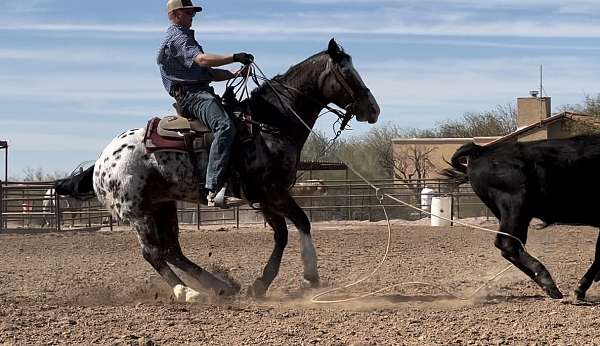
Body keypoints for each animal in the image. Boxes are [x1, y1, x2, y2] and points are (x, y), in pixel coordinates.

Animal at [58, 39, 382, 302]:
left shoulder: (265, 197)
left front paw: (264, 284)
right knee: (153, 253)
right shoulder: (271, 192)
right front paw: (304, 278)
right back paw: (188, 293)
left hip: (163, 206)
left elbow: (285, 232)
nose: (374, 109)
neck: (268, 123)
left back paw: (221, 286)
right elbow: (298, 224)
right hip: (137, 212)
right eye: (348, 72)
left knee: (173, 250)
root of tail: (101, 161)